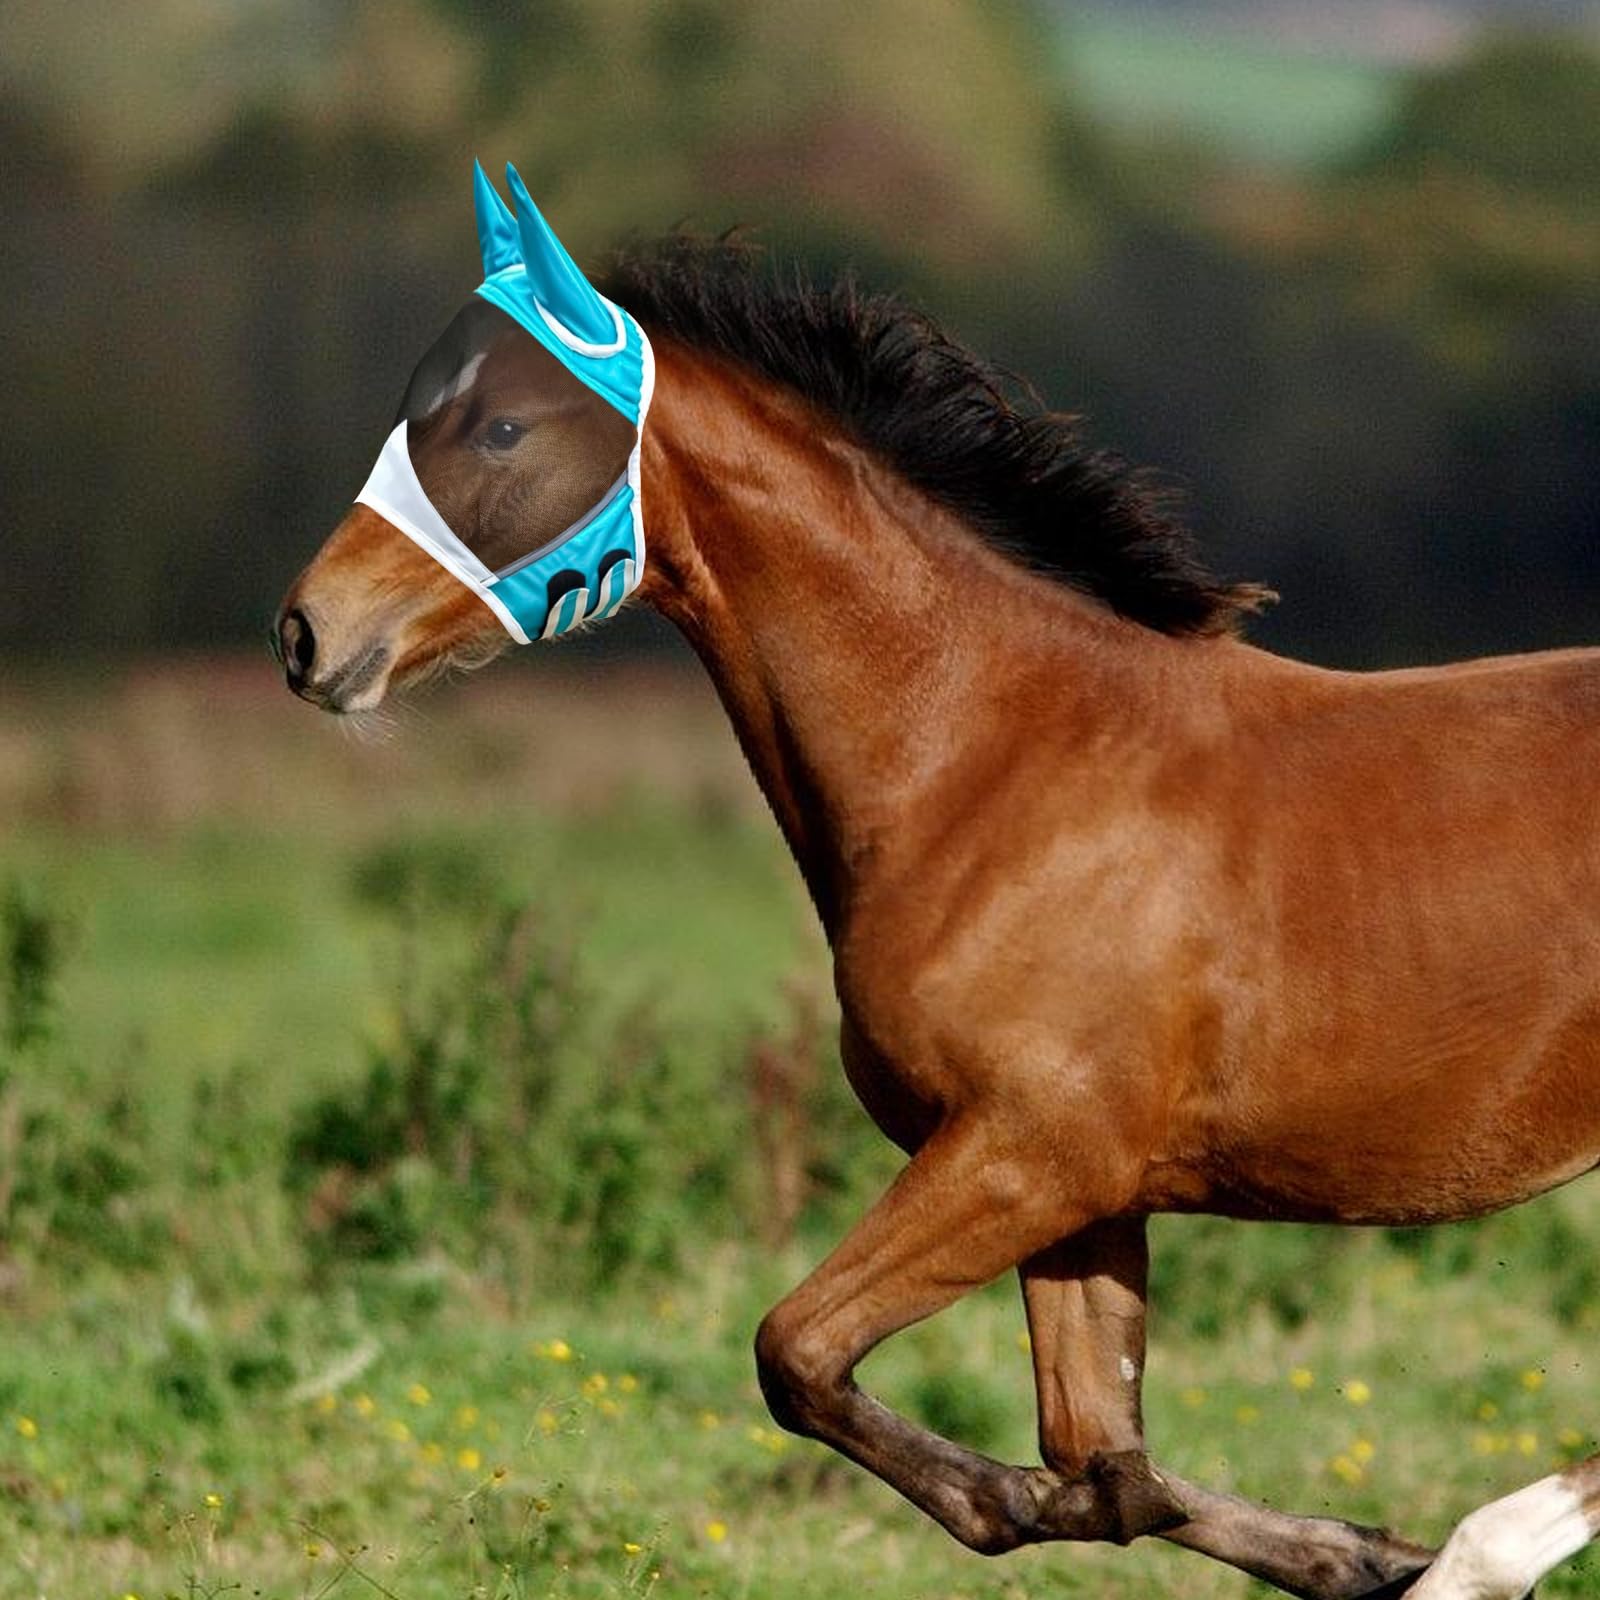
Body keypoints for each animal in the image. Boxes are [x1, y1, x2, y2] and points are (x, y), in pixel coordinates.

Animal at [276, 233, 1600, 1600]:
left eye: (499, 427)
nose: (308, 631)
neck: (987, 755)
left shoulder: (1027, 1152)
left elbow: (802, 1354)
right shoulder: (1088, 1194)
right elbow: (1105, 1463)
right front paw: (1352, 1551)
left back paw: (1481, 1555)